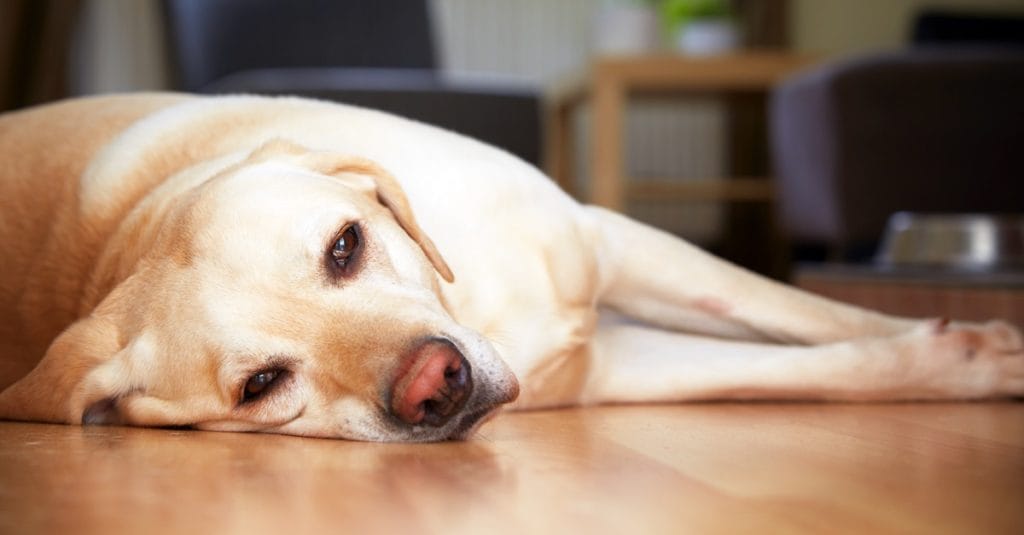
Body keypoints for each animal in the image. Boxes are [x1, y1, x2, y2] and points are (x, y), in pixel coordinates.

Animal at [0, 93, 1019, 438]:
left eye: (345, 245)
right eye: (261, 385)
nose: (435, 385)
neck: (477, 301)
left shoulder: (609, 239)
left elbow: (814, 315)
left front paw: (976, 343)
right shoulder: (612, 367)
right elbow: (795, 369)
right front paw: (963, 357)